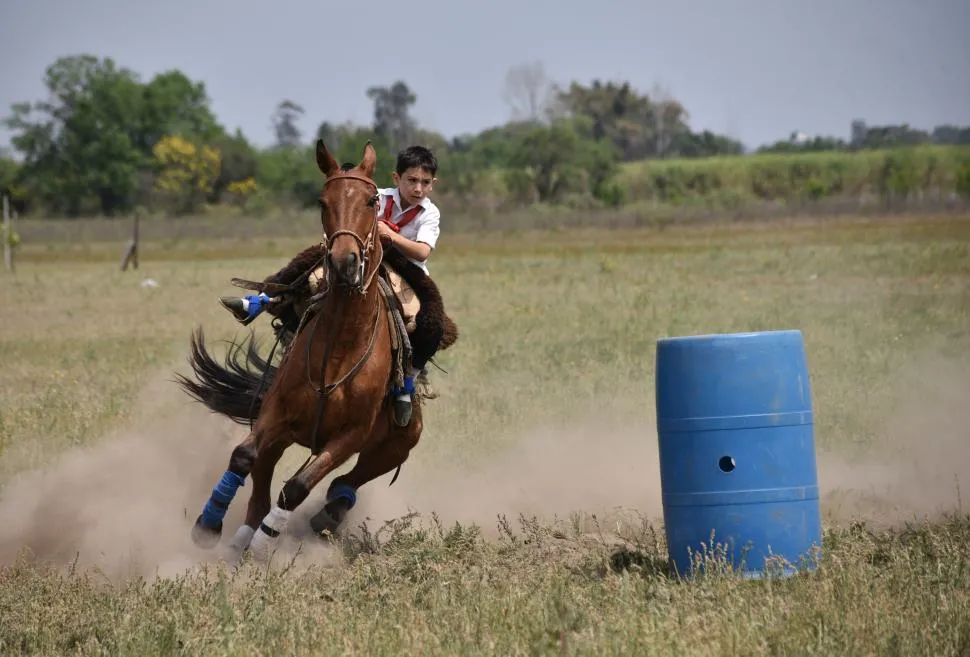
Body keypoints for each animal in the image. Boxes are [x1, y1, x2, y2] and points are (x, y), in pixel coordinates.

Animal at [179, 141, 428, 560]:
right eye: (322, 201)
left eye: (372, 200)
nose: (344, 262)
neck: (340, 348)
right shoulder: (276, 413)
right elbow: (244, 457)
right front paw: (208, 525)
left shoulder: (350, 436)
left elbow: (296, 487)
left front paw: (265, 545)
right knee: (260, 490)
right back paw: (239, 542)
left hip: (395, 447)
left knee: (346, 483)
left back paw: (327, 514)